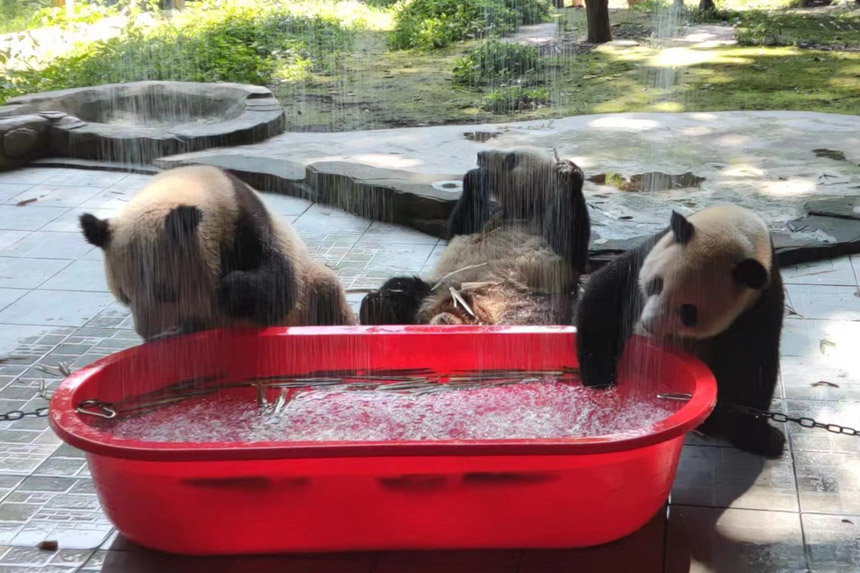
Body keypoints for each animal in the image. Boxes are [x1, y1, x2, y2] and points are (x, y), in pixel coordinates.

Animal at [77, 164, 352, 340]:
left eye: (165, 292)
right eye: (124, 297)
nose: (151, 335)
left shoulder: (245, 219)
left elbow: (279, 287)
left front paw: (227, 292)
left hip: (309, 297)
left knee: (325, 292)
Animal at [362, 147, 592, 326]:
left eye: (511, 159)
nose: (481, 154)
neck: (523, 210)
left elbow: (571, 247)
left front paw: (568, 173)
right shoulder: (490, 216)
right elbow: (459, 228)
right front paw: (477, 176)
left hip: (526, 303)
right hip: (437, 287)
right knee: (403, 287)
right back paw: (378, 306)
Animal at [576, 203, 788, 458]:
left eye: (688, 312)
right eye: (656, 284)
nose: (648, 325)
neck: (738, 224)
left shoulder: (761, 299)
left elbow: (752, 363)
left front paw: (761, 437)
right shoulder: (651, 250)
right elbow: (606, 293)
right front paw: (600, 380)